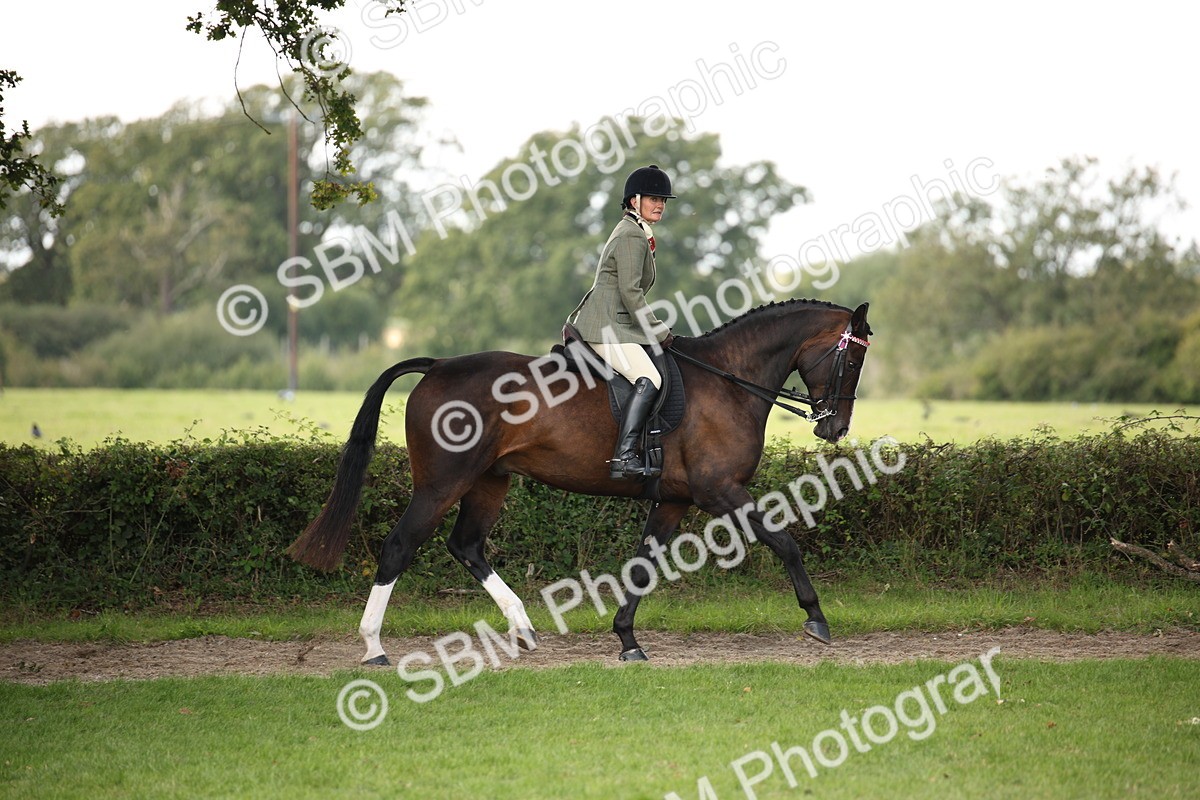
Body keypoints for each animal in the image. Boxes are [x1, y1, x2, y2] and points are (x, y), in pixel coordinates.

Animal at [287, 299, 872, 663]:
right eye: (852, 359)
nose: (835, 427)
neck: (729, 379)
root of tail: (438, 366)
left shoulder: (675, 500)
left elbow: (642, 565)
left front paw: (627, 639)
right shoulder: (719, 491)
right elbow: (784, 541)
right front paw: (816, 619)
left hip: (488, 481)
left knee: (467, 545)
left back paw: (522, 628)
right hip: (441, 484)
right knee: (399, 546)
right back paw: (374, 647)